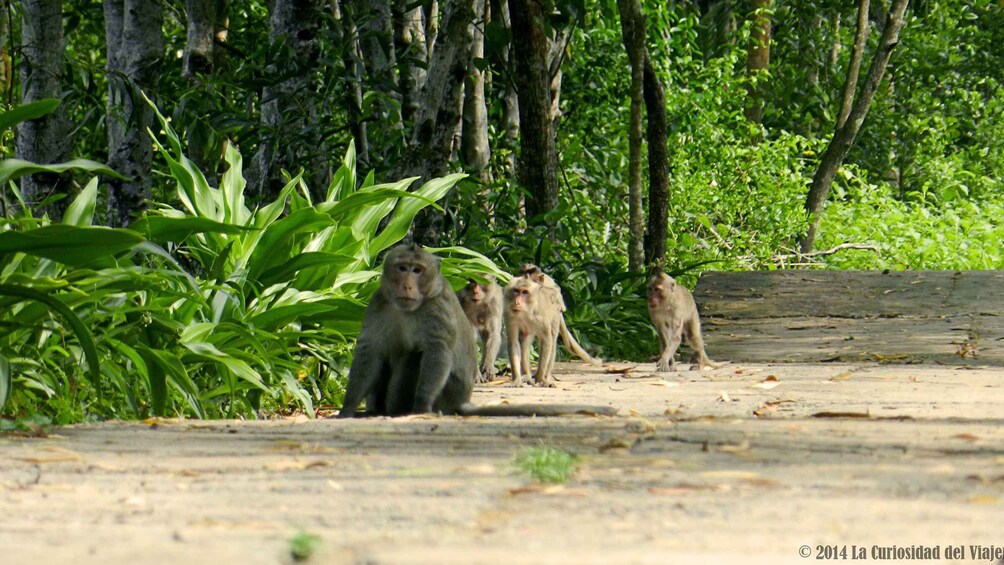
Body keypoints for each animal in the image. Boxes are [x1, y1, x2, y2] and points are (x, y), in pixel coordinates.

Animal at [341, 245, 614, 417]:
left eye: (417, 270)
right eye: (402, 268)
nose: (407, 285)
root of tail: (462, 400)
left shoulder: (438, 310)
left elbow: (438, 350)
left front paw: (421, 406)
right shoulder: (379, 302)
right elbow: (370, 351)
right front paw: (348, 408)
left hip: (448, 392)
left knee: (413, 356)